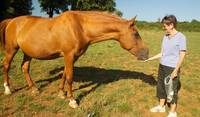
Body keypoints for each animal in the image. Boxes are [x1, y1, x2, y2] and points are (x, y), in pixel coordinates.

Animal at [0, 10, 147, 108]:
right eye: (135, 34)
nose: (146, 53)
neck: (81, 27)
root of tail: (11, 21)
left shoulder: (73, 57)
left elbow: (65, 74)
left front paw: (61, 93)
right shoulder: (69, 55)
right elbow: (70, 77)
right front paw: (72, 101)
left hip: (27, 52)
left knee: (25, 67)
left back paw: (34, 89)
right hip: (12, 49)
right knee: (6, 65)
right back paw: (8, 89)